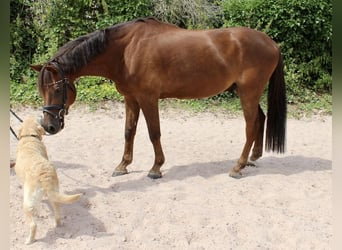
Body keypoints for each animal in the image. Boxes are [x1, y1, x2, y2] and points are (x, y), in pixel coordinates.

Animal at [14, 116, 82, 244]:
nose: (41, 116)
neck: (29, 136)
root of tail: (44, 175)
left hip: (27, 204)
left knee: (33, 225)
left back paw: (29, 240)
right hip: (54, 194)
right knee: (57, 212)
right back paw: (58, 224)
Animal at [30, 17, 286, 178]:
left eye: (56, 88)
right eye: (42, 90)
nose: (49, 126)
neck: (126, 51)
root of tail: (272, 43)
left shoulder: (148, 99)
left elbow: (154, 133)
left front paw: (156, 168)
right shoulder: (131, 99)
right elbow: (129, 131)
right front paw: (123, 165)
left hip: (248, 93)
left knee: (251, 125)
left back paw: (238, 167)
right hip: (247, 92)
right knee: (260, 119)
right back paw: (253, 158)